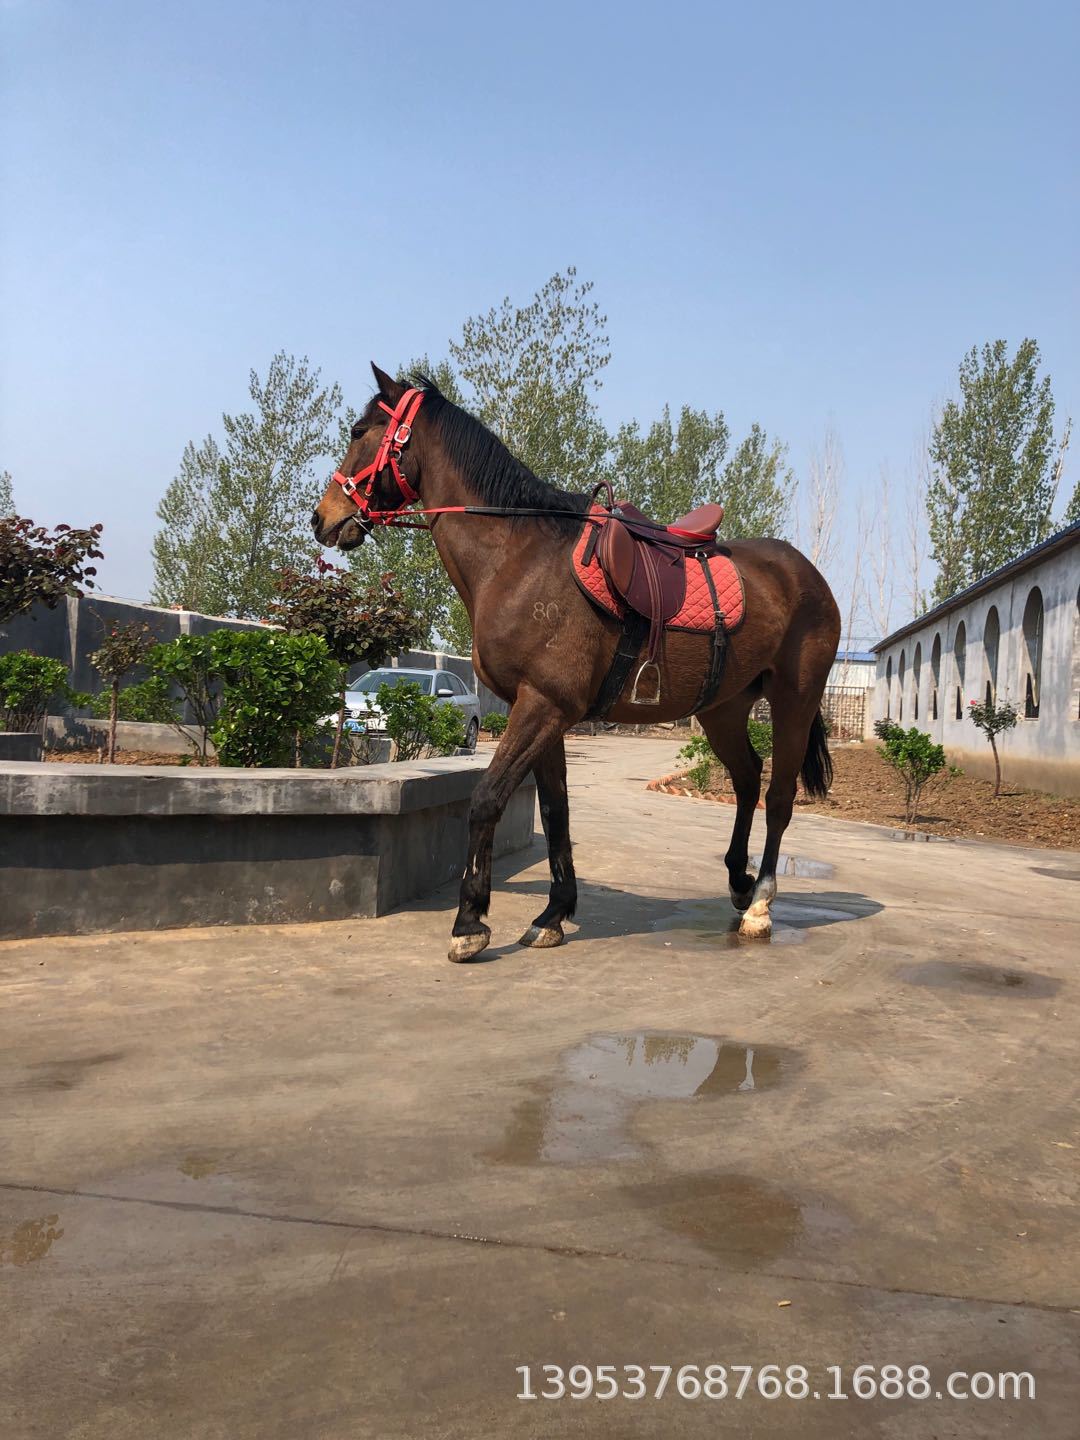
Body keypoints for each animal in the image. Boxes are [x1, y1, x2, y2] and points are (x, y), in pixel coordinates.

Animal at [313, 364, 841, 961]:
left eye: (360, 431)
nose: (322, 517)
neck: (518, 558)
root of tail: (807, 575)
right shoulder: (547, 713)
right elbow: (555, 810)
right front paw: (554, 913)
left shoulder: (542, 706)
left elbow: (487, 799)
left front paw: (470, 921)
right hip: (722, 709)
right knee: (748, 779)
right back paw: (737, 881)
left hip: (794, 701)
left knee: (778, 795)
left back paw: (760, 904)